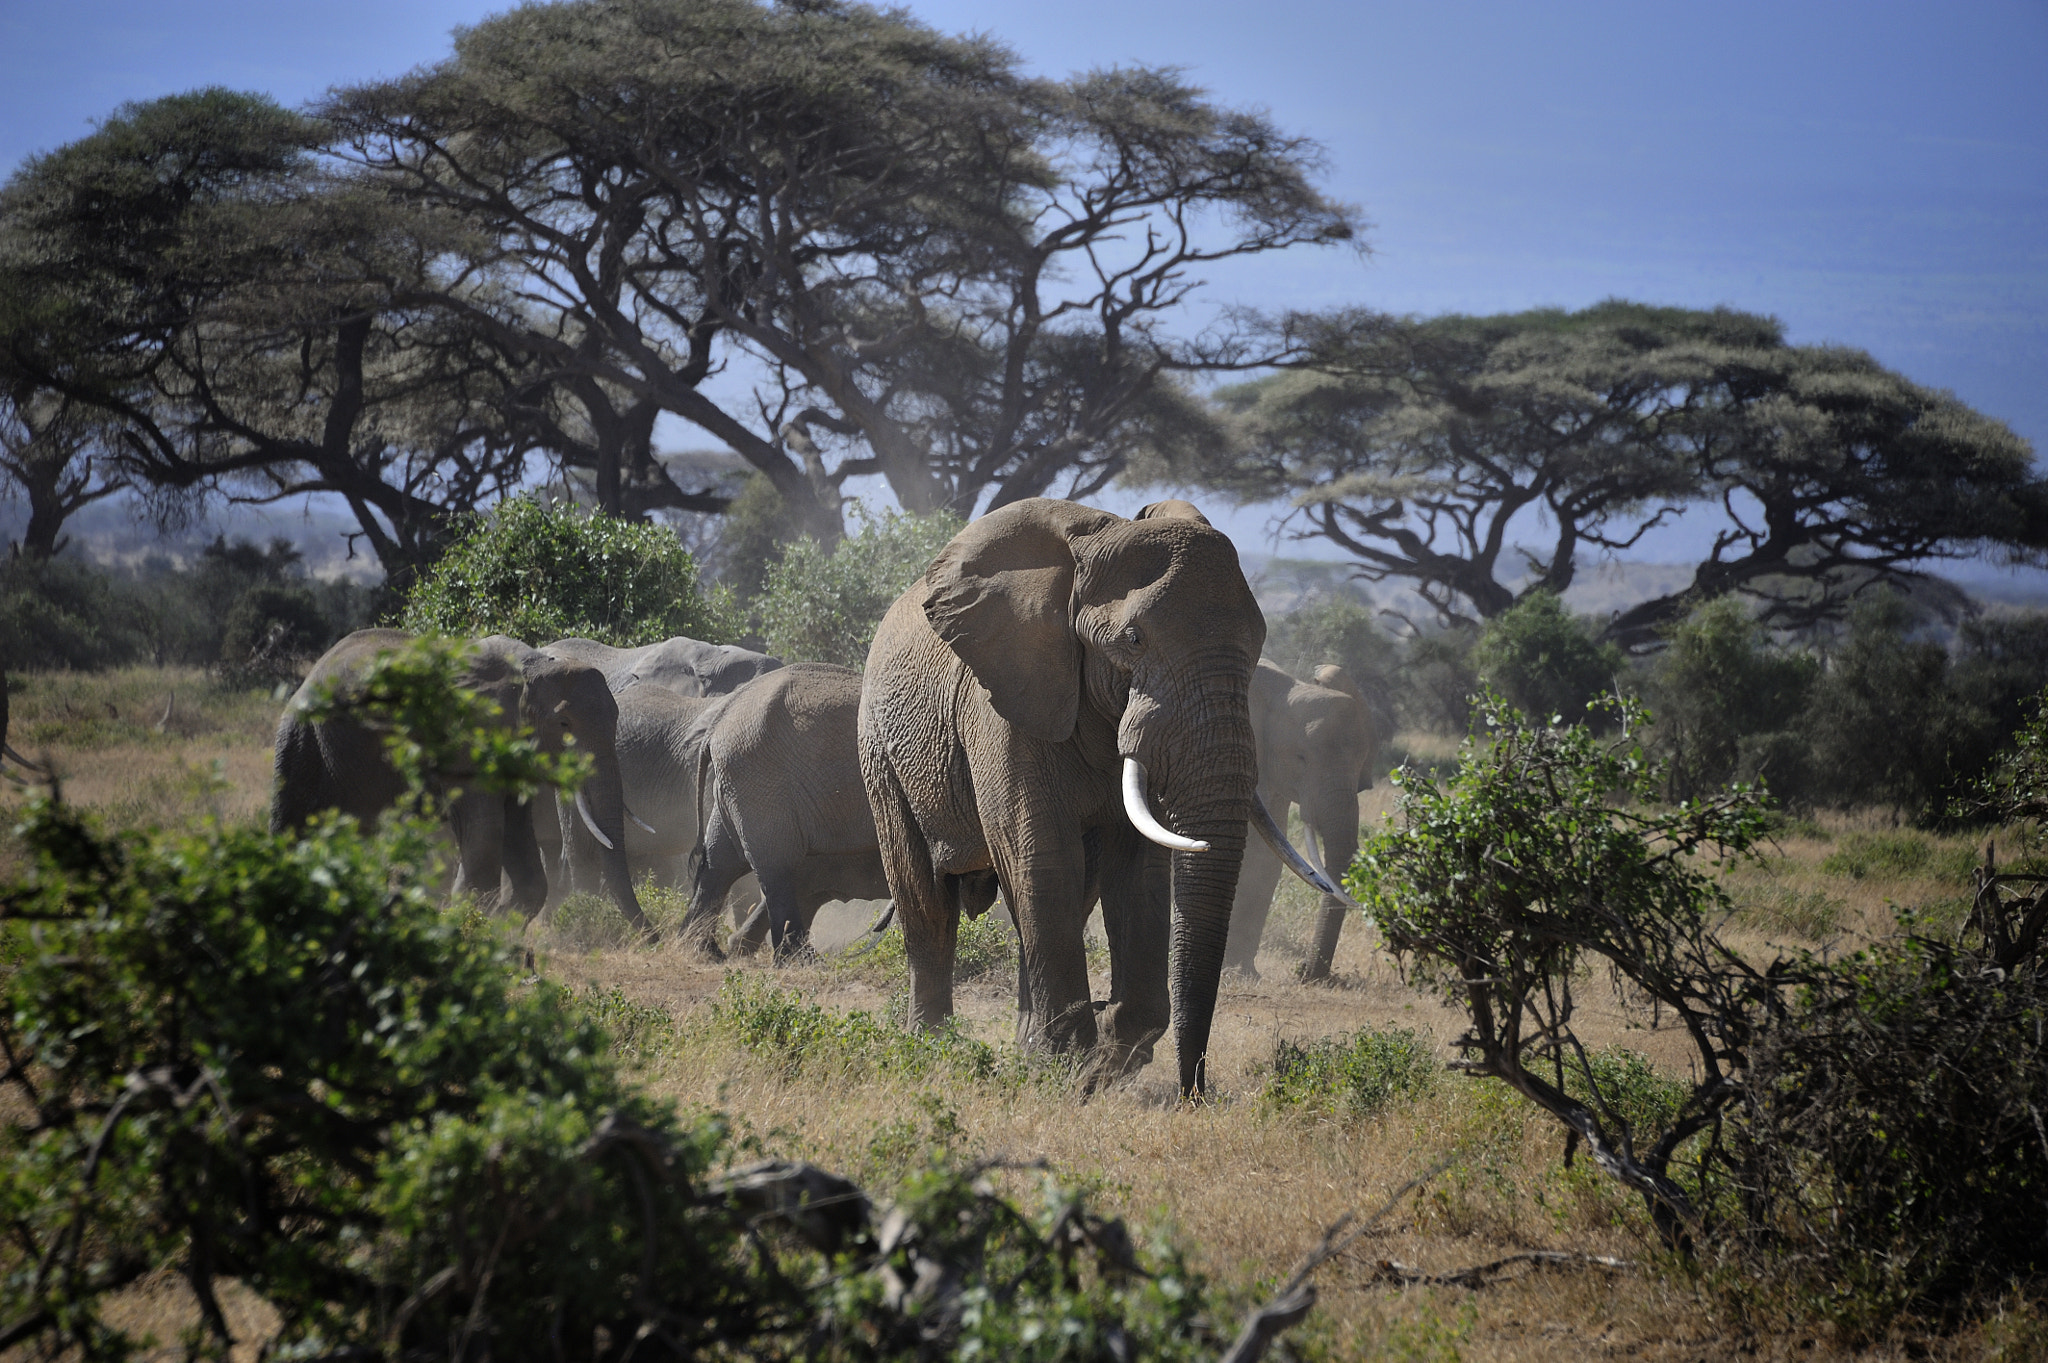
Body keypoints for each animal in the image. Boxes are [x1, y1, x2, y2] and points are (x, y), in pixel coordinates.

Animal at [268, 630, 643, 933]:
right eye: (564, 724)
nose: (651, 937)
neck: (529, 667)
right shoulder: (468, 739)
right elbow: (485, 840)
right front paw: (467, 928)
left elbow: (519, 845)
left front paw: (498, 928)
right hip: (302, 735)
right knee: (291, 823)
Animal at [675, 663, 917, 961]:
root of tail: (719, 722)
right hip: (761, 781)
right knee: (775, 868)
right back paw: (798, 960)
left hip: (736, 785)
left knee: (719, 864)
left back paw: (701, 951)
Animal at [860, 499, 1327, 1096]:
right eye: (1134, 640)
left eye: (1260, 642)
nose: (1194, 1092)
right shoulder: (1007, 700)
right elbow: (1041, 855)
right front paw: (1076, 1061)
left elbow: (1138, 870)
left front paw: (1098, 1059)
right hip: (880, 748)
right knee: (927, 900)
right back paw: (933, 1049)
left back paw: (1028, 1051)